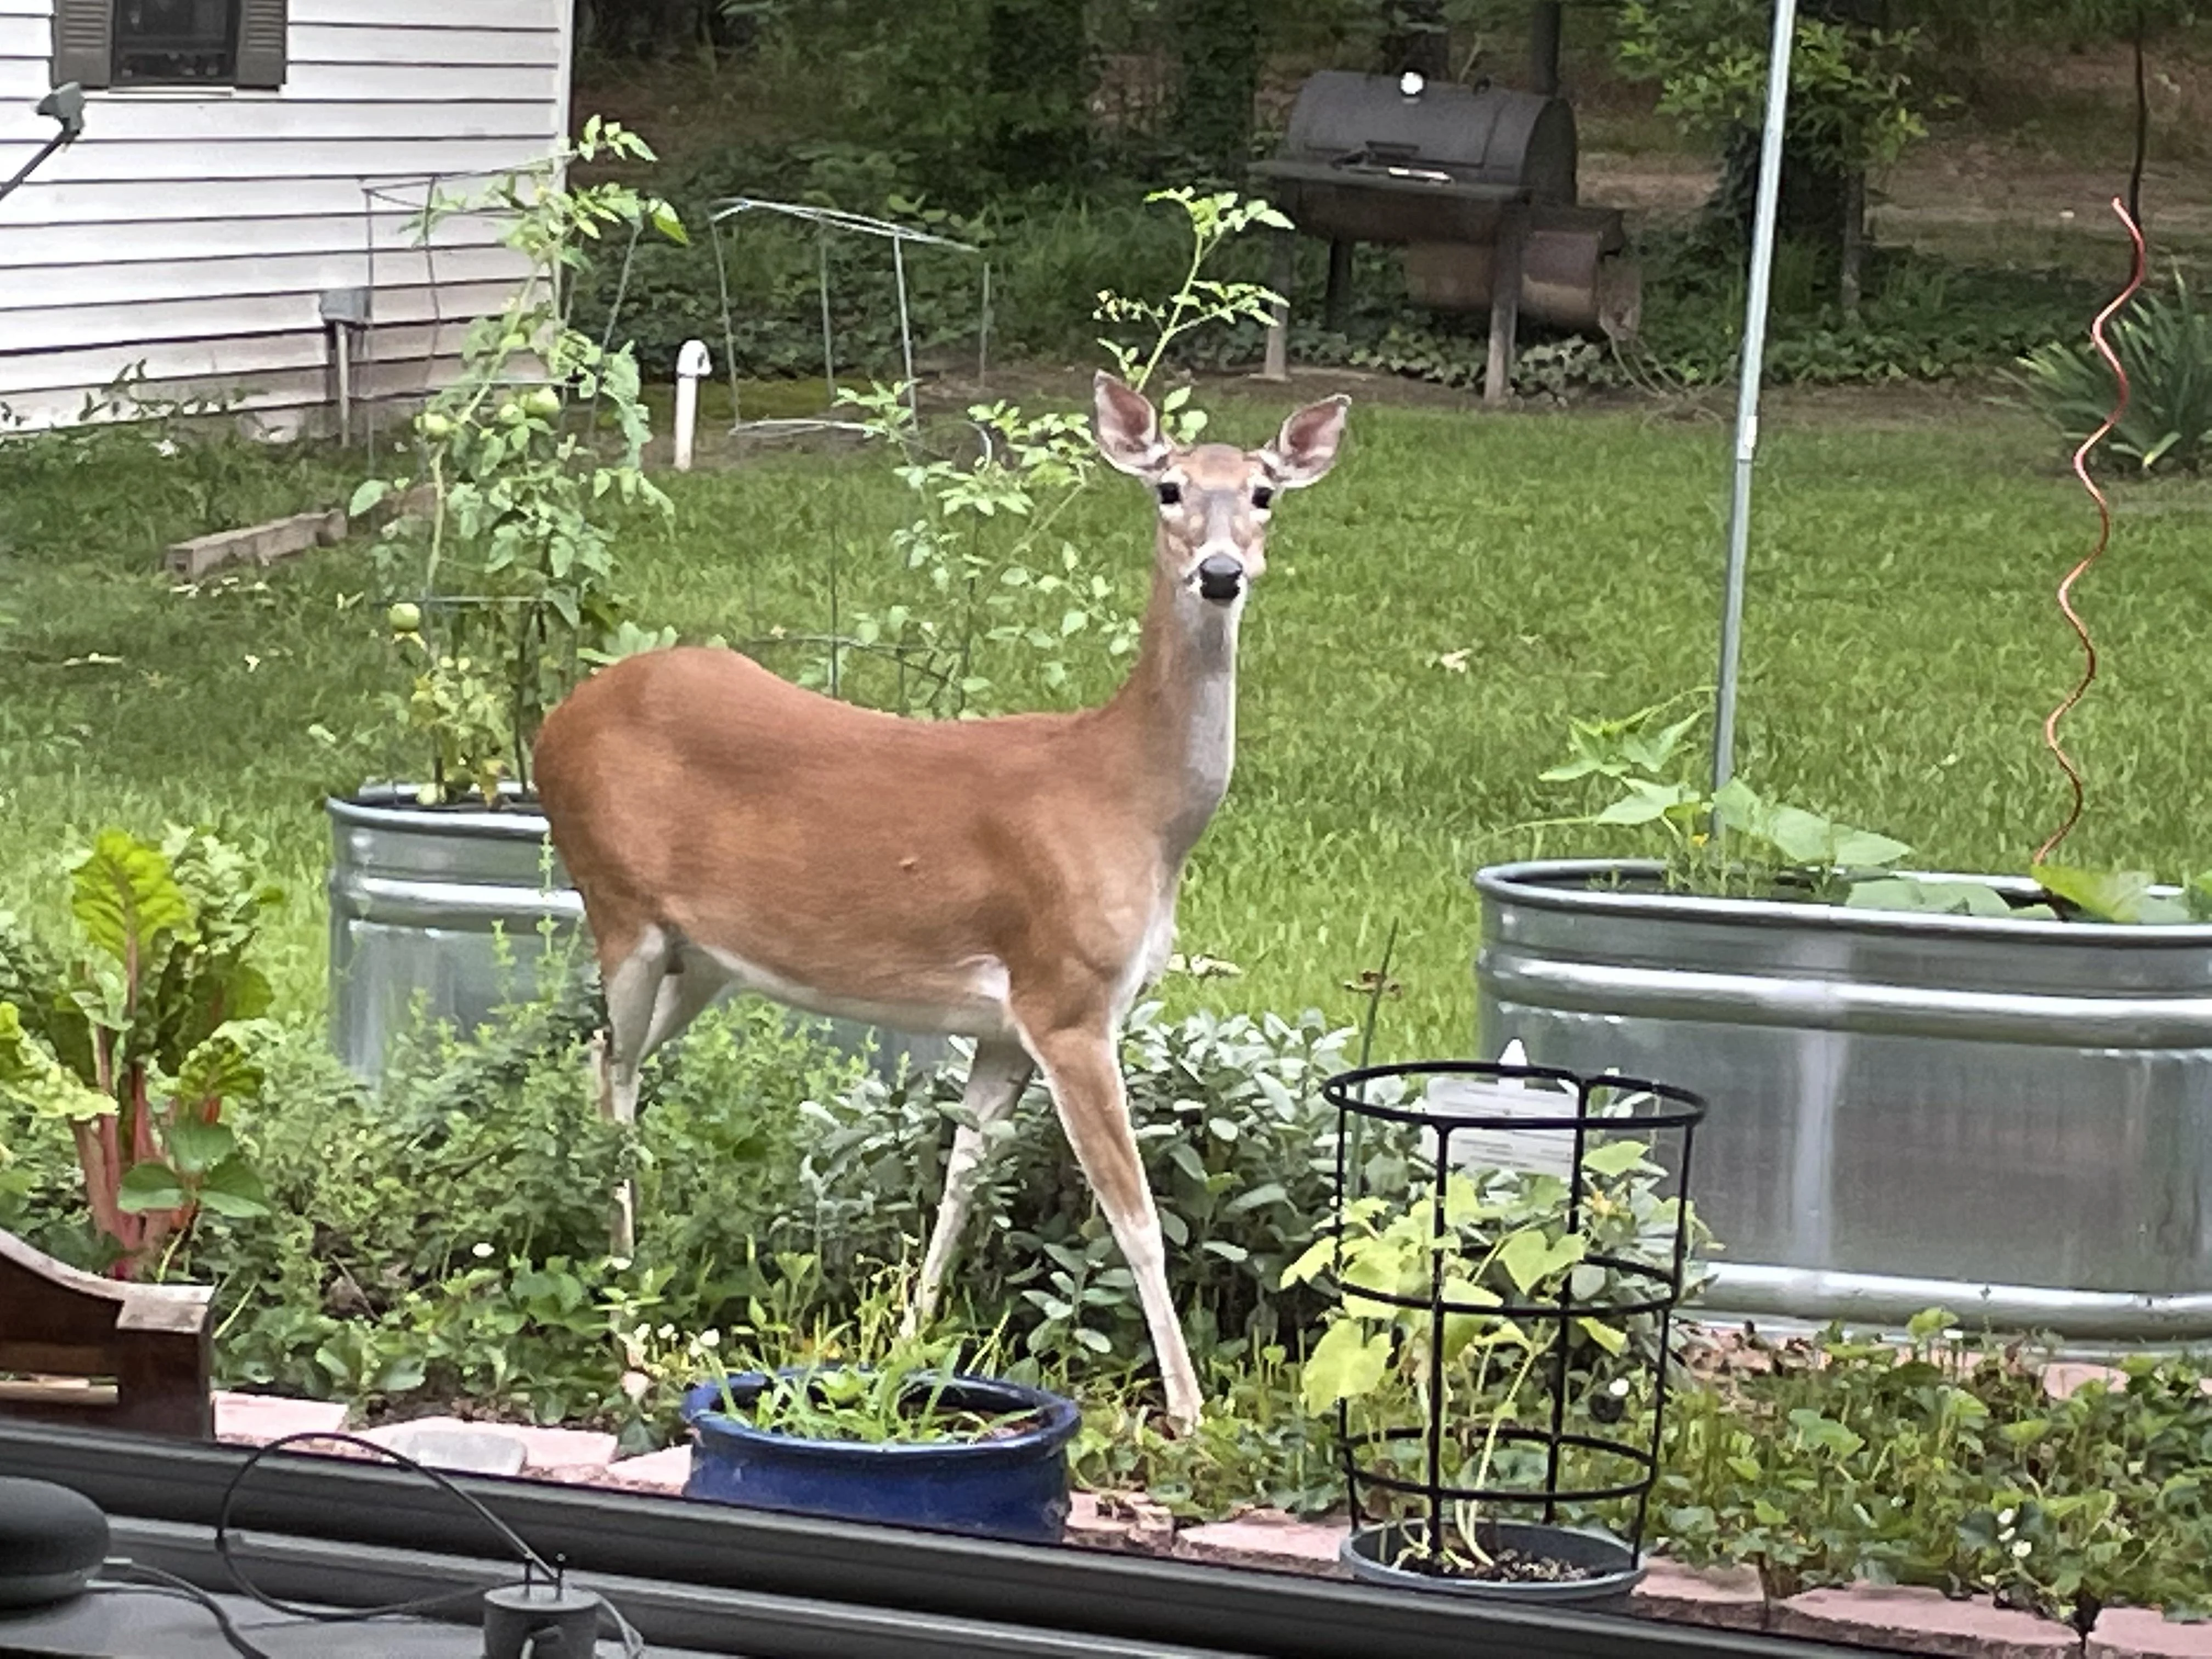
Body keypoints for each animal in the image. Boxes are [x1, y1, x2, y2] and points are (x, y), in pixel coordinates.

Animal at [530, 372, 1349, 1430]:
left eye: (1263, 493)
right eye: (1168, 488)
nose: (1220, 572)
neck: (1132, 800)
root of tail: (555, 722)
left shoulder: (1006, 1025)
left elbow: (962, 1177)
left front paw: (906, 1347)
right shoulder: (1068, 994)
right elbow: (1135, 1216)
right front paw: (1188, 1414)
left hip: (700, 956)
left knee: (600, 1058)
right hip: (618, 903)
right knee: (619, 1075)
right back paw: (628, 1328)